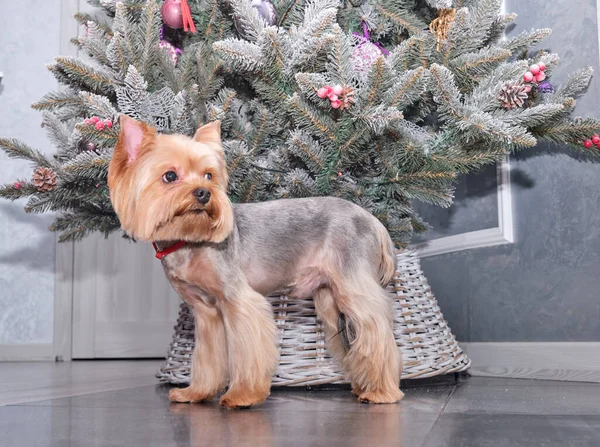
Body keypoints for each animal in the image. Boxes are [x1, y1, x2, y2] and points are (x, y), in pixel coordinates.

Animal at [109, 116, 404, 410]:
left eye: (208, 175)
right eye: (170, 176)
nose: (204, 193)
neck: (190, 240)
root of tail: (373, 220)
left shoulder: (238, 300)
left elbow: (247, 350)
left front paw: (242, 396)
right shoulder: (206, 312)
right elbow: (207, 356)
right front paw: (196, 392)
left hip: (352, 284)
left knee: (376, 331)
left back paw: (382, 391)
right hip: (328, 299)